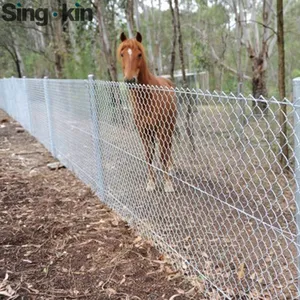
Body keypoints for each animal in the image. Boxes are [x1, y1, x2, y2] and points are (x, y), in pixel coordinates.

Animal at [117, 31, 177, 193]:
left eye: (139, 54)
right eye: (122, 54)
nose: (130, 80)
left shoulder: (162, 129)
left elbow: (162, 155)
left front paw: (167, 184)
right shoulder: (143, 131)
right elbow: (149, 156)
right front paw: (151, 183)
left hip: (169, 127)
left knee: (168, 148)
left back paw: (170, 169)